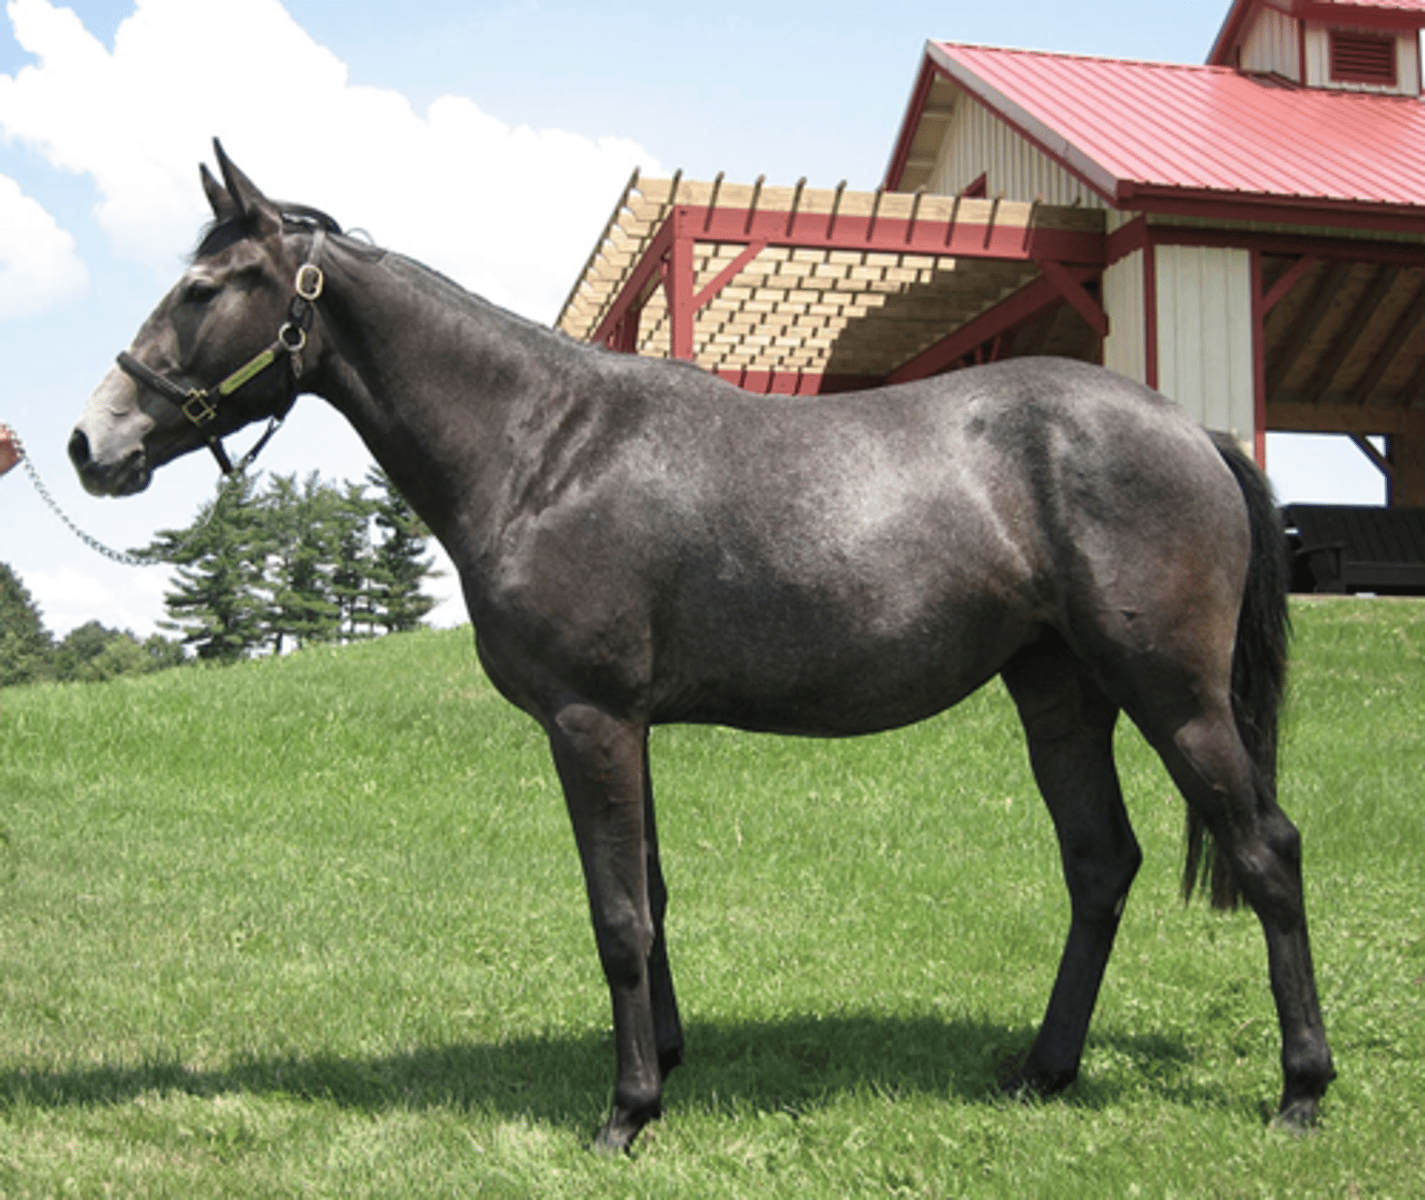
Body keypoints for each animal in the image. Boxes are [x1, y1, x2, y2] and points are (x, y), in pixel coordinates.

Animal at [69, 142, 1334, 1152]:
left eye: (203, 288)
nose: (92, 441)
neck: (544, 449)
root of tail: (1192, 429)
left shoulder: (590, 721)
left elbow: (618, 915)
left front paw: (627, 1113)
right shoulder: (627, 728)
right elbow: (654, 895)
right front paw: (665, 1063)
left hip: (1173, 697)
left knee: (1267, 851)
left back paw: (1300, 1092)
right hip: (1060, 693)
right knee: (1099, 864)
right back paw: (1042, 1072)